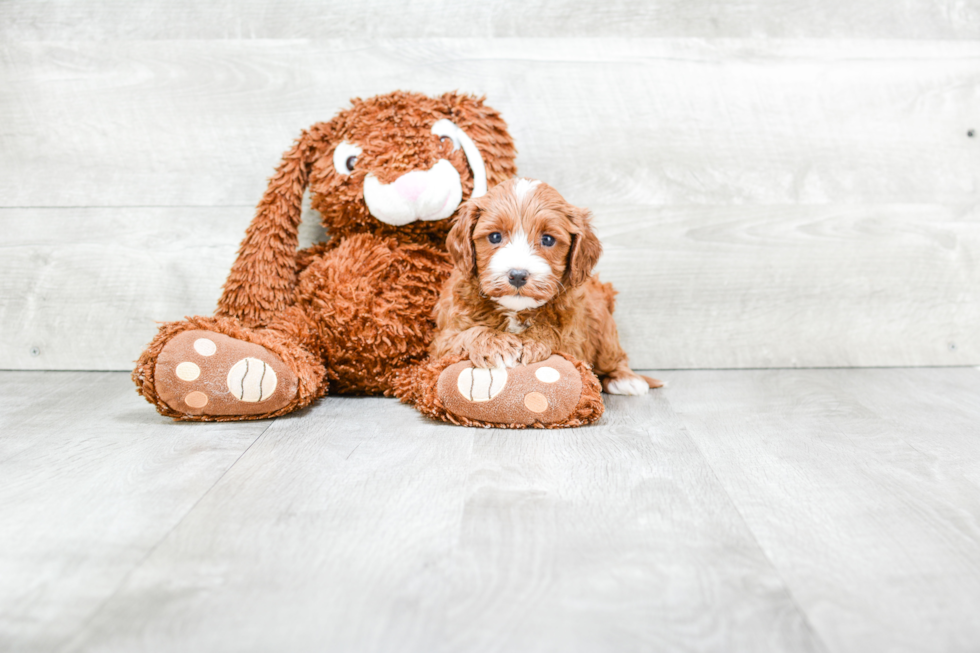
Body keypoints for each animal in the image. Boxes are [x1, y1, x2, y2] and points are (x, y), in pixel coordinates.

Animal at [434, 176, 660, 394]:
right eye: (495, 236)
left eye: (548, 239)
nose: (518, 275)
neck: (516, 310)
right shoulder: (443, 341)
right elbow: (465, 335)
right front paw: (495, 344)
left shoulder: (573, 340)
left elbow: (553, 332)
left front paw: (531, 341)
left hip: (603, 326)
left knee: (613, 356)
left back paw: (626, 379)